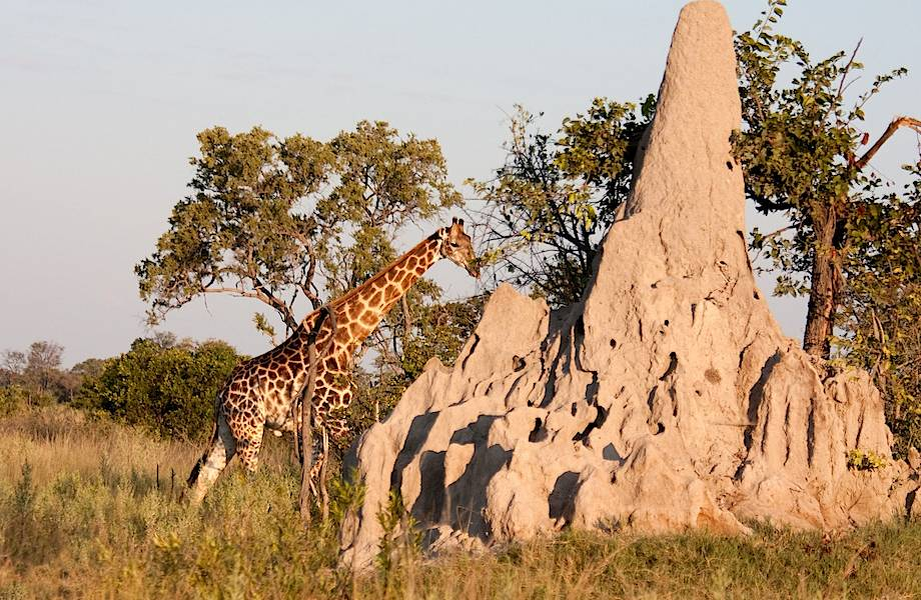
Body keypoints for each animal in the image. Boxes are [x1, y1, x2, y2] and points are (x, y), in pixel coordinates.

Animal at [187, 218, 479, 504]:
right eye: (454, 244)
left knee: (202, 481)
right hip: (249, 427)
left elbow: (313, 474)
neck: (347, 339)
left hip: (228, 430)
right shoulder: (334, 417)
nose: (475, 267)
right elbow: (342, 466)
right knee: (247, 478)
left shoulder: (318, 423)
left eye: (469, 241)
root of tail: (223, 392)